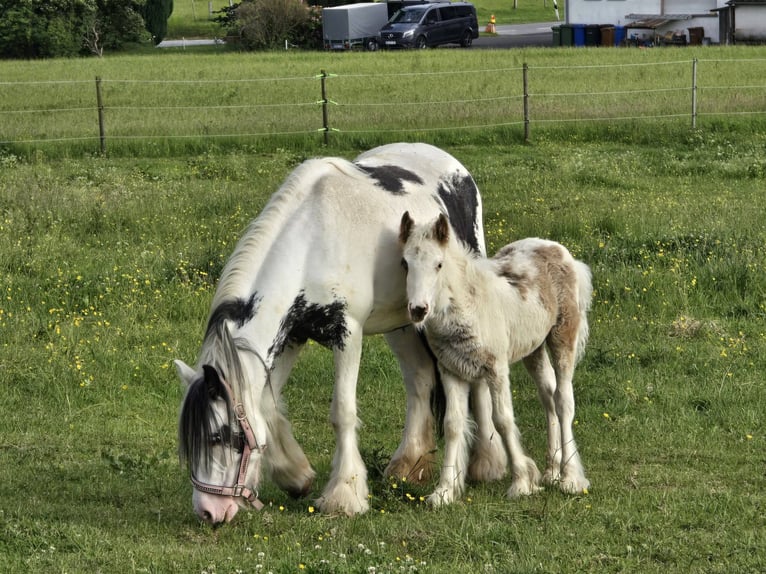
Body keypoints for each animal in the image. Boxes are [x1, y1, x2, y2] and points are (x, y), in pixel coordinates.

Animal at [173, 143, 509, 524]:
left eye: (221, 436)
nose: (209, 511)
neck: (310, 245)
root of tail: (454, 167)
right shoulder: (292, 335)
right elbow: (267, 406)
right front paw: (295, 474)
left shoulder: (347, 333)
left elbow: (343, 412)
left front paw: (344, 494)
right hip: (403, 324)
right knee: (421, 380)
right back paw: (408, 464)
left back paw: (488, 463)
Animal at [399, 211, 592, 506]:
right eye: (405, 263)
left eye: (439, 264)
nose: (418, 309)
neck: (470, 305)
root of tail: (556, 248)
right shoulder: (451, 369)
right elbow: (453, 425)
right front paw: (444, 492)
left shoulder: (496, 368)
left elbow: (502, 419)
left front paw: (521, 482)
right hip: (533, 348)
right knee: (548, 395)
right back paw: (552, 471)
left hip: (563, 336)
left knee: (563, 400)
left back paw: (570, 478)